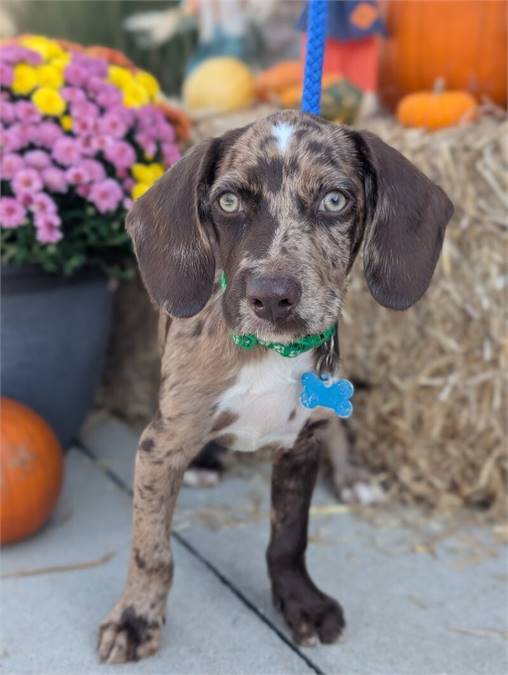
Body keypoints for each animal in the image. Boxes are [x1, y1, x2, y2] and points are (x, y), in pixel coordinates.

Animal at [96, 108, 452, 664]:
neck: (269, 354)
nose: (272, 298)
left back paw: (353, 477)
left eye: (335, 200)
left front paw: (300, 603)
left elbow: (289, 538)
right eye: (228, 201)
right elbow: (151, 548)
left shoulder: (301, 444)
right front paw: (135, 618)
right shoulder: (160, 444)